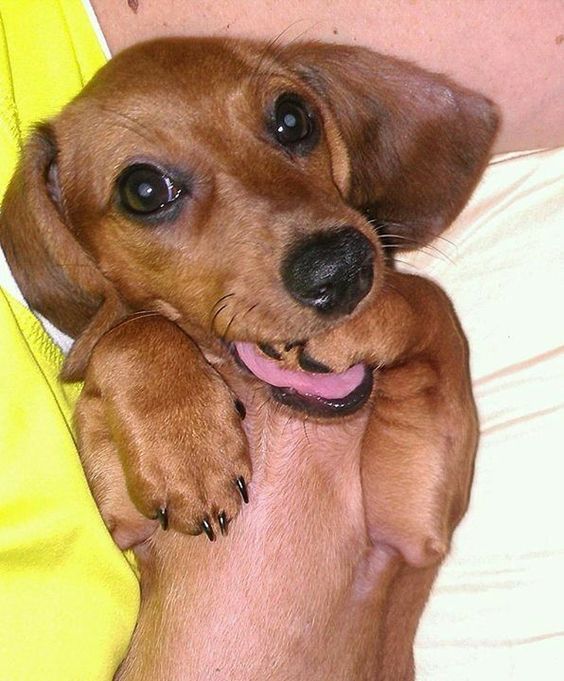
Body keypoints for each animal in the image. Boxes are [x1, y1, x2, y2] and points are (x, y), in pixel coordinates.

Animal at [2, 38, 498, 680]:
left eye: (293, 118)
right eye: (144, 190)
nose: (340, 270)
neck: (275, 415)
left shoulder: (413, 528)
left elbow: (427, 302)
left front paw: (372, 314)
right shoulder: (123, 522)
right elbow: (129, 335)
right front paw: (188, 450)